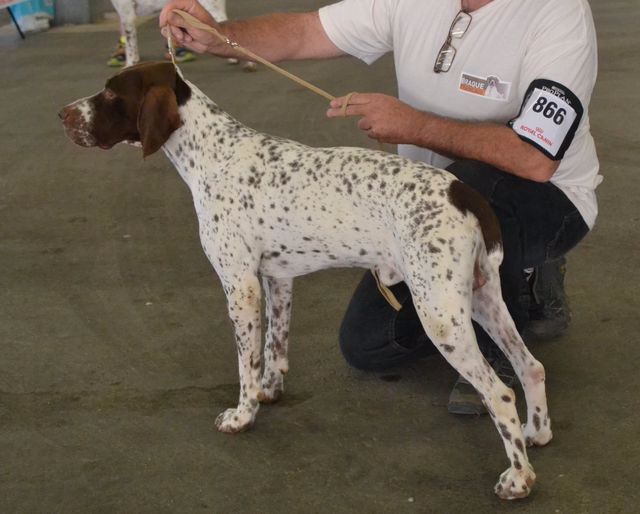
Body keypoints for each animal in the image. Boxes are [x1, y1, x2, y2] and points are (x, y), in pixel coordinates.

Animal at [57, 62, 552, 498]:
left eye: (111, 95)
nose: (62, 115)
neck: (213, 155)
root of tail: (463, 192)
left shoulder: (240, 285)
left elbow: (246, 362)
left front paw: (242, 415)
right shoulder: (276, 281)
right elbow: (274, 348)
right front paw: (269, 392)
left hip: (440, 315)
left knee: (500, 394)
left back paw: (518, 479)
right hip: (481, 300)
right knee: (530, 366)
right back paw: (537, 433)